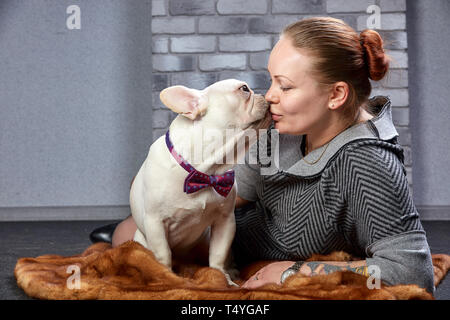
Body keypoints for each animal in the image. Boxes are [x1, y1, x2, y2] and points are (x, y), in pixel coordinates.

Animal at [130, 79, 270, 286]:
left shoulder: (225, 220)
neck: (205, 171)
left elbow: (218, 254)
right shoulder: (155, 222)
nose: (265, 94)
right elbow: (163, 254)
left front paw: (222, 278)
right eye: (244, 89)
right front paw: (167, 277)